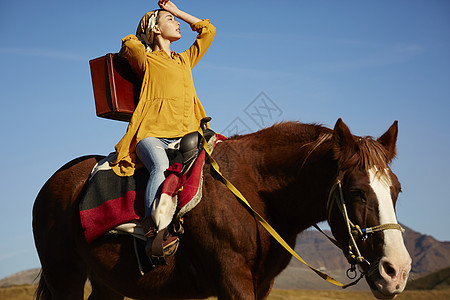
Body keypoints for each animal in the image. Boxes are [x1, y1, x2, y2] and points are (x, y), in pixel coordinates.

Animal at [31, 118, 412, 298]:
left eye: (396, 190)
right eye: (357, 192)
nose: (397, 271)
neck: (256, 192)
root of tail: (53, 183)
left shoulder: (261, 286)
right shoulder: (232, 280)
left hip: (108, 282)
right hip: (65, 278)